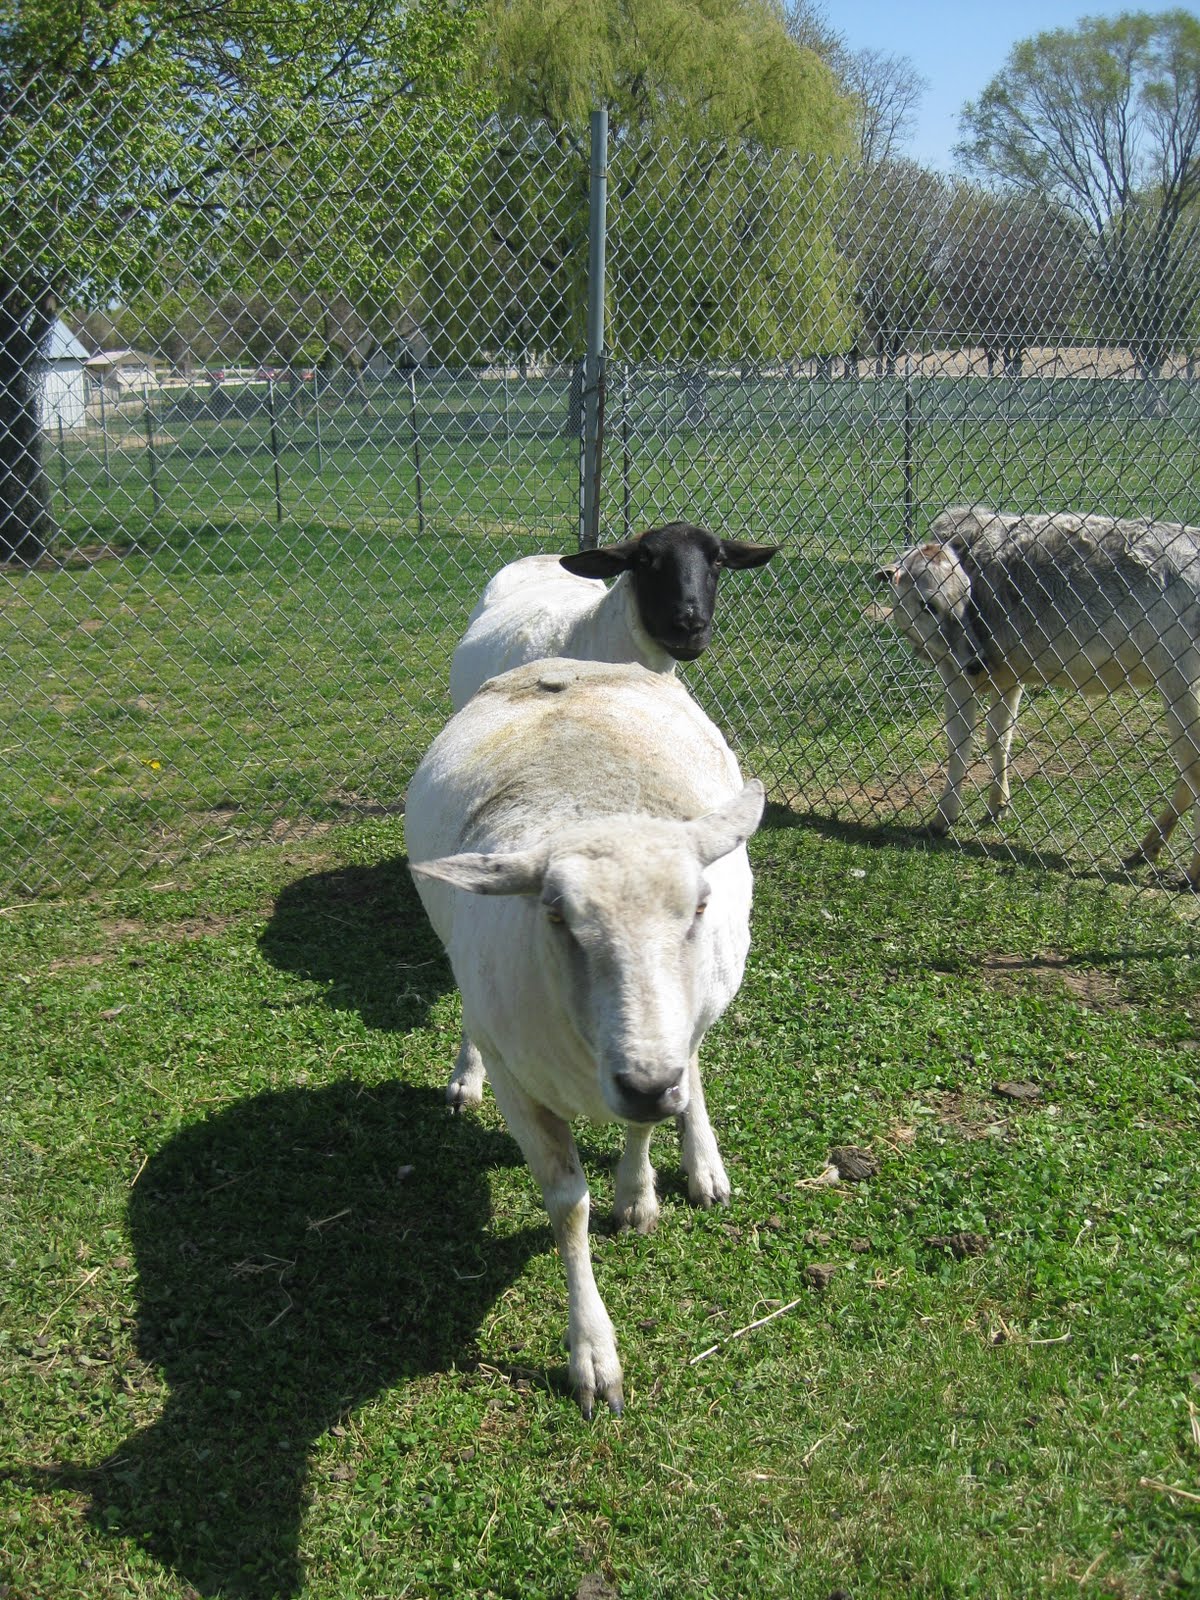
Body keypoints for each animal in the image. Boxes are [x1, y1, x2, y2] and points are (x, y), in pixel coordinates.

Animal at [404, 656, 761, 1420]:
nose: (650, 1084)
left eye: (699, 905)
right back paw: (464, 1077)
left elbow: (645, 1125)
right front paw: (593, 1354)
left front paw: (638, 1196)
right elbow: (568, 1206)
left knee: (694, 1063)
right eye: (556, 916)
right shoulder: (523, 1086)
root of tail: (564, 662)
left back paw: (703, 1162)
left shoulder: (655, 1057)